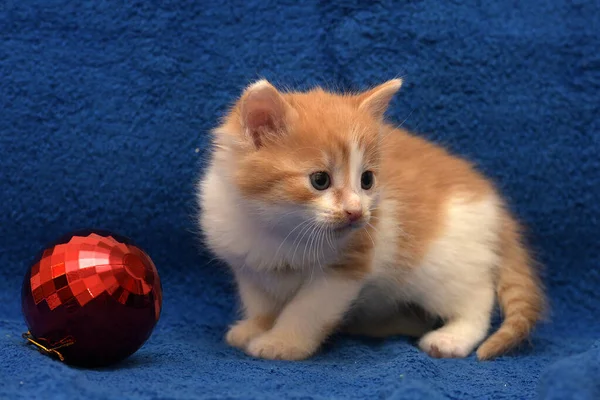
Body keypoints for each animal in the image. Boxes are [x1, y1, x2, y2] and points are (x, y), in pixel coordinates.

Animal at [196, 77, 544, 360]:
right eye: (320, 180)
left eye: (367, 180)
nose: (356, 211)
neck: (278, 228)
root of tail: (494, 205)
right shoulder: (247, 263)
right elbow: (262, 303)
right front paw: (255, 328)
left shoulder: (345, 268)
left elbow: (306, 310)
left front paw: (282, 343)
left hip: (444, 263)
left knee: (476, 297)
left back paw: (452, 337)